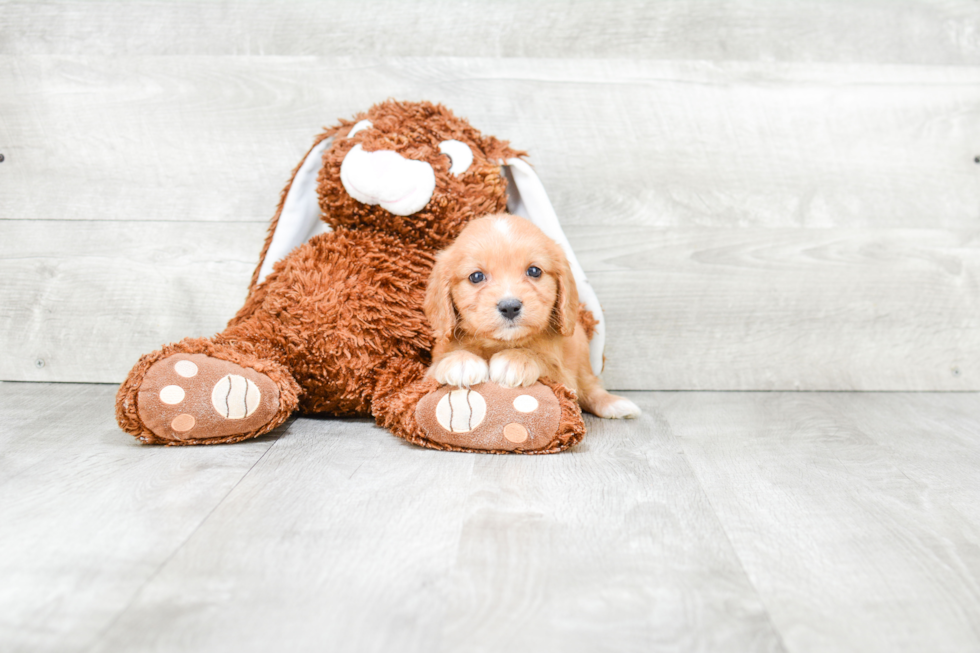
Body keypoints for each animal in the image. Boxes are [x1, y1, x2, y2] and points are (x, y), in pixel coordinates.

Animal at [424, 213, 640, 418]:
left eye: (534, 271)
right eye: (476, 276)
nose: (510, 307)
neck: (501, 343)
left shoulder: (564, 379)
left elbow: (545, 361)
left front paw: (516, 359)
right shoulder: (426, 374)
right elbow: (439, 365)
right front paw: (460, 361)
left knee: (590, 386)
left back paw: (614, 404)